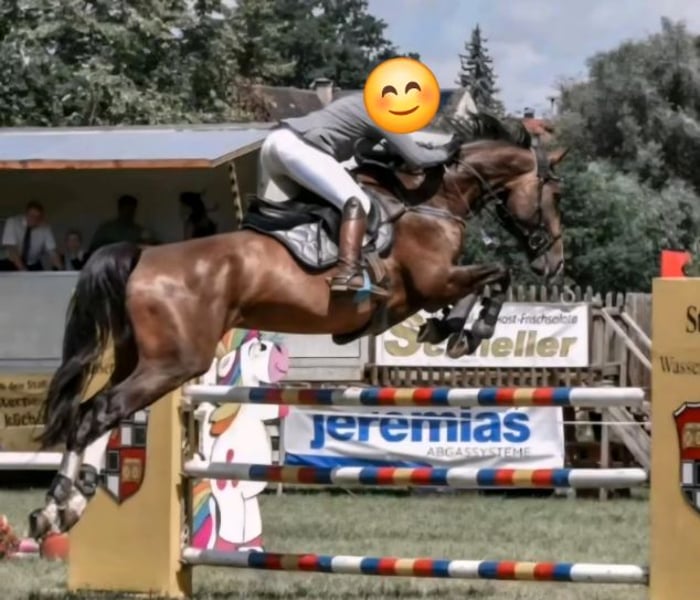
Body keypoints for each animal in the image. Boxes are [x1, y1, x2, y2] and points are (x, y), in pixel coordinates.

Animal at [28, 113, 568, 541]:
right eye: (555, 192)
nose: (554, 262)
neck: (432, 200)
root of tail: (142, 255)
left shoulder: (420, 293)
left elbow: (477, 285)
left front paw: (449, 329)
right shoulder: (433, 280)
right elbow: (497, 273)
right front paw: (470, 331)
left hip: (140, 359)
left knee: (94, 410)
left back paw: (69, 504)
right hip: (174, 362)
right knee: (102, 410)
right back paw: (58, 507)